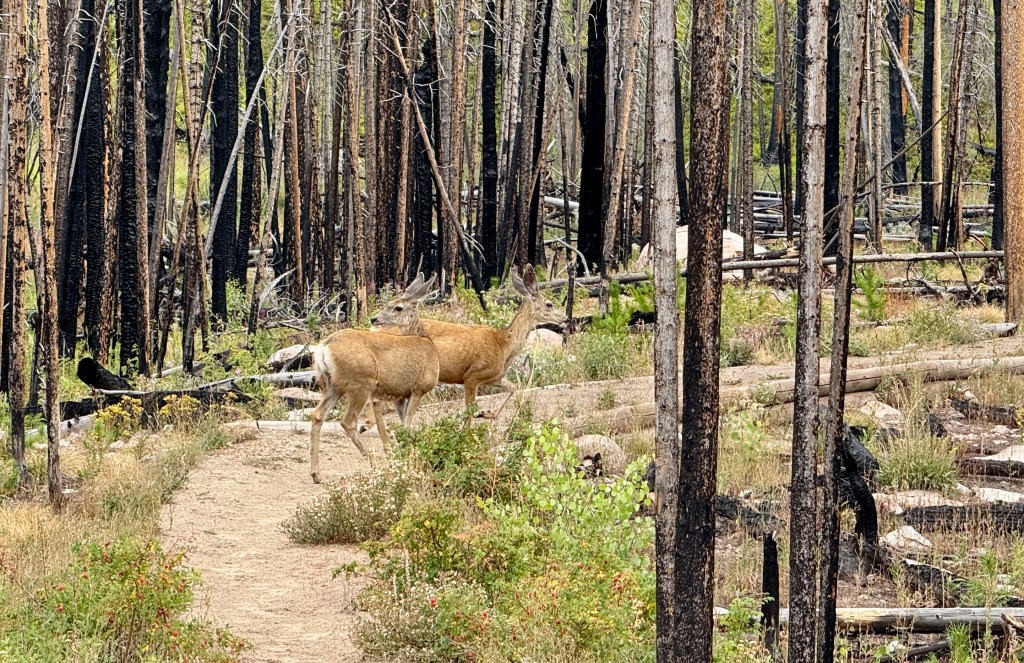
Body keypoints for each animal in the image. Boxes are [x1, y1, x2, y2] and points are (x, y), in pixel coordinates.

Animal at [308, 273, 438, 483]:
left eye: (397, 307)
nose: (374, 318)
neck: (428, 344)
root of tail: (324, 348)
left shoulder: (400, 395)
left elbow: (404, 426)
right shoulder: (418, 389)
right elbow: (408, 426)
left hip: (333, 386)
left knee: (317, 415)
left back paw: (316, 474)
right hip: (362, 383)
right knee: (348, 421)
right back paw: (373, 460)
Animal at [384, 265, 568, 420]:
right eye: (549, 304)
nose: (565, 318)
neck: (503, 344)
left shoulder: (494, 377)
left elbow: (513, 387)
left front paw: (487, 413)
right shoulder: (473, 376)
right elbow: (469, 412)